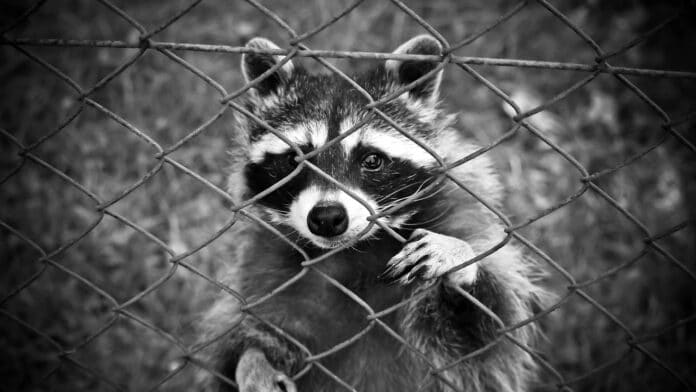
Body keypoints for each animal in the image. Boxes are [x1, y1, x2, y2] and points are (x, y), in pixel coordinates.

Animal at [201, 34, 548, 392]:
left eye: (371, 160)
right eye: (295, 160)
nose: (327, 218)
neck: (354, 254)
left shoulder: (461, 217)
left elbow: (483, 339)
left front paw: (459, 258)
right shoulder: (264, 268)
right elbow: (245, 338)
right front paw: (253, 360)